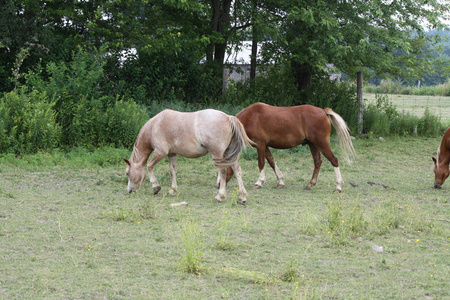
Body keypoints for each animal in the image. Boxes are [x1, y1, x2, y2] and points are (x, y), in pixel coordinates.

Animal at [125, 109, 253, 205]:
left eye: (127, 173)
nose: (130, 191)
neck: (155, 126)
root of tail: (227, 117)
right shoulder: (172, 154)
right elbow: (172, 171)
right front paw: (172, 190)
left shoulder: (161, 152)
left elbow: (149, 166)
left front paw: (156, 187)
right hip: (228, 154)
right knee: (237, 170)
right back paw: (242, 197)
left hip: (217, 154)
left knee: (223, 171)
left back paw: (220, 196)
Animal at [225, 102, 356, 192]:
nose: (220, 185)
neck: (251, 117)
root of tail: (324, 111)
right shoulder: (265, 146)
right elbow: (272, 162)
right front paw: (280, 182)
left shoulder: (260, 145)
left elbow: (261, 163)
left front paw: (259, 182)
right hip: (313, 145)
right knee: (317, 162)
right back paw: (310, 184)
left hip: (321, 144)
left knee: (334, 160)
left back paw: (338, 187)